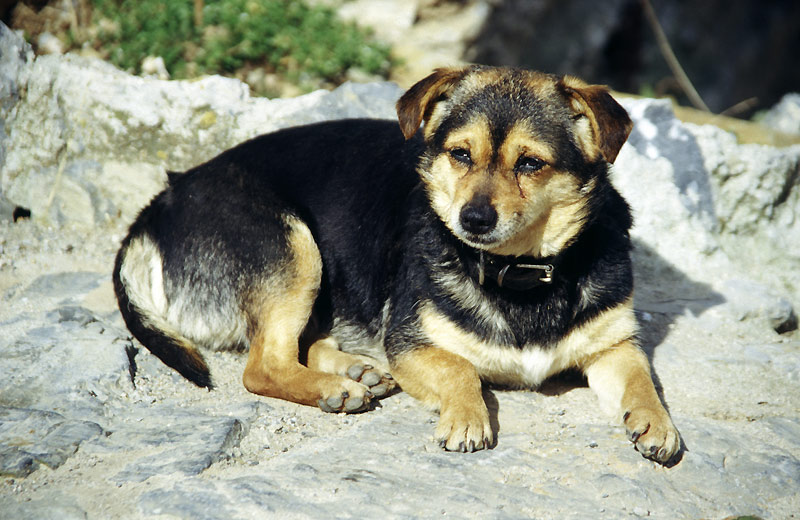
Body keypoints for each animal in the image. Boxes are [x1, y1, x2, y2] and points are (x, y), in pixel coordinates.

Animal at [114, 67, 680, 462]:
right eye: (459, 155)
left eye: (530, 164)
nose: (473, 218)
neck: (518, 274)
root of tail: (159, 202)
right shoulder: (411, 343)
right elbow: (460, 368)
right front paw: (467, 417)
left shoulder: (615, 346)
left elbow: (643, 381)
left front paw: (659, 424)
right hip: (295, 249)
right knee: (262, 364)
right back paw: (338, 388)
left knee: (298, 343)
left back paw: (356, 368)